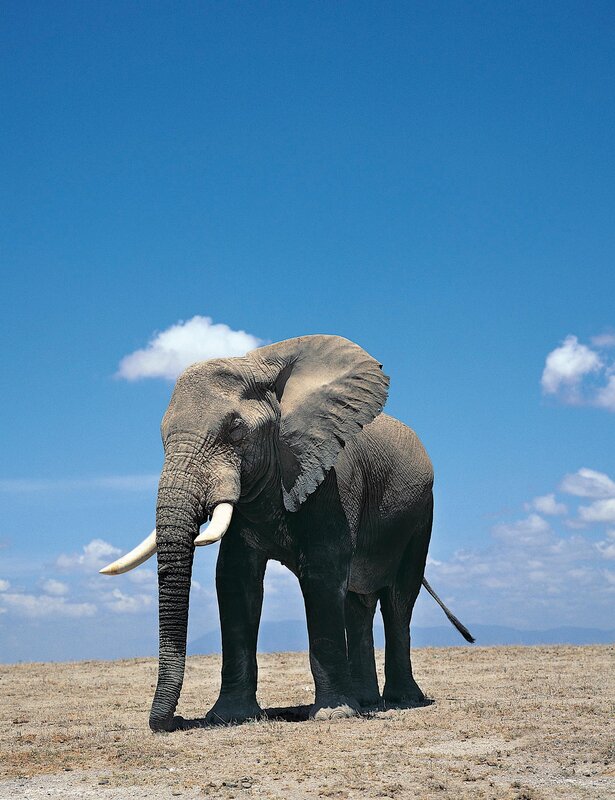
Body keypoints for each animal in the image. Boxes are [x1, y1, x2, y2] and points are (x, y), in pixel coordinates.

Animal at [101, 334, 473, 731]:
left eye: (235, 430)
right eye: (161, 436)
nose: (172, 721)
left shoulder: (331, 478)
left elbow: (322, 575)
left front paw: (334, 715)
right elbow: (235, 579)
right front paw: (229, 717)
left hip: (421, 514)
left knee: (399, 598)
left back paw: (401, 700)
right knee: (357, 603)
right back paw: (367, 701)